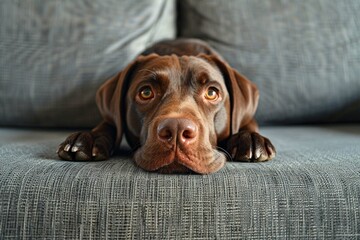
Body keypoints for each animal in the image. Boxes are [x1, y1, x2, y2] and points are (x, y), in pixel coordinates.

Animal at [57, 38, 276, 173]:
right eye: (146, 92)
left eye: (212, 93)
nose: (177, 130)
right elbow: (108, 123)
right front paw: (88, 138)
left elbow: (249, 123)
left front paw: (250, 139)